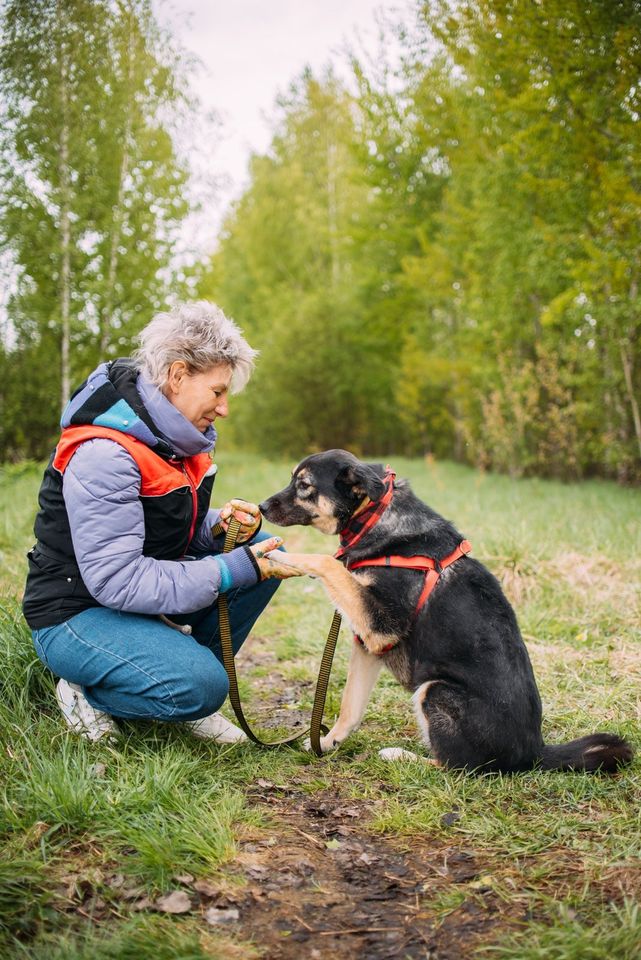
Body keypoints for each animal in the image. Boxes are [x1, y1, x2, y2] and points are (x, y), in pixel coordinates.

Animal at [258, 450, 632, 772]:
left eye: (304, 485)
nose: (260, 506)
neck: (374, 515)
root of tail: (534, 754)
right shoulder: (369, 642)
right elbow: (351, 706)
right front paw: (328, 741)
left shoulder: (380, 623)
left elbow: (327, 563)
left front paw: (278, 555)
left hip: (435, 690)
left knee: (457, 766)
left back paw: (399, 756)